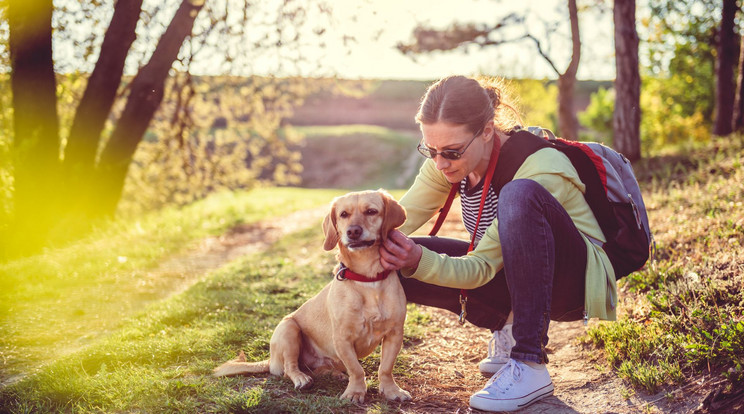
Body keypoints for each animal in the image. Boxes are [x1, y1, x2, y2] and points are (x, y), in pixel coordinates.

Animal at [214, 189, 412, 402]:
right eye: (344, 214)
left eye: (371, 211)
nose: (353, 231)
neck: (367, 279)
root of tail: (270, 360)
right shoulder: (342, 339)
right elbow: (357, 370)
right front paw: (355, 392)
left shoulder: (394, 334)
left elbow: (385, 368)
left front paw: (391, 390)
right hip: (289, 329)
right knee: (289, 368)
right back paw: (302, 379)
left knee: (318, 368)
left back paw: (332, 373)